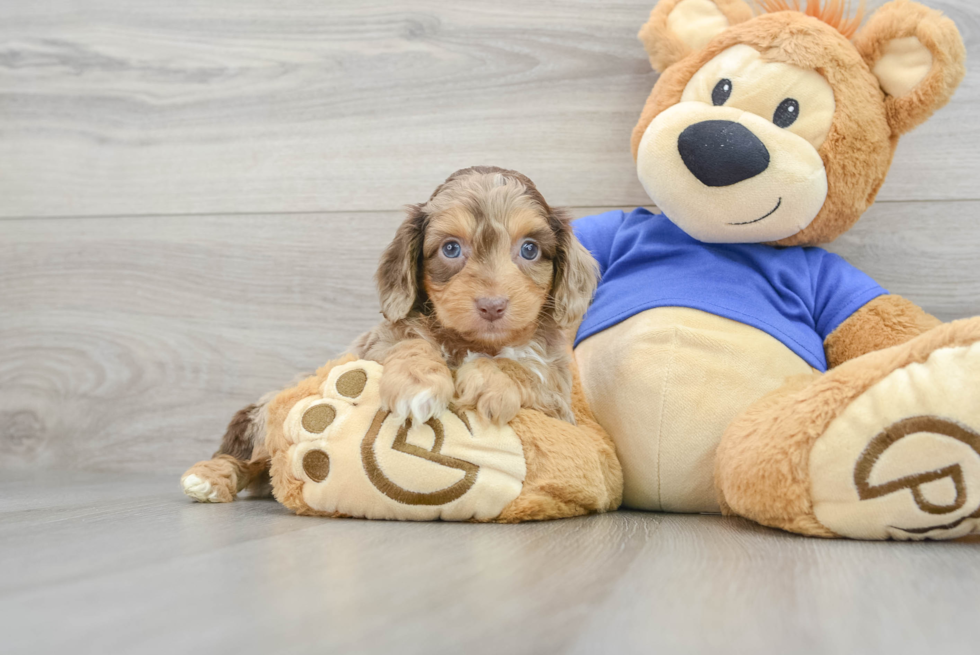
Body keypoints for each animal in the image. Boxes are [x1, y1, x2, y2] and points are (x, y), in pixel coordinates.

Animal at [182, 168, 596, 502]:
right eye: (451, 248)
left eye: (529, 249)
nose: (492, 306)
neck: (474, 343)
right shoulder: (379, 344)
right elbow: (409, 342)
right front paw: (419, 385)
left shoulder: (559, 405)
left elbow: (526, 370)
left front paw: (490, 381)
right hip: (267, 414)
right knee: (248, 458)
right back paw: (209, 478)